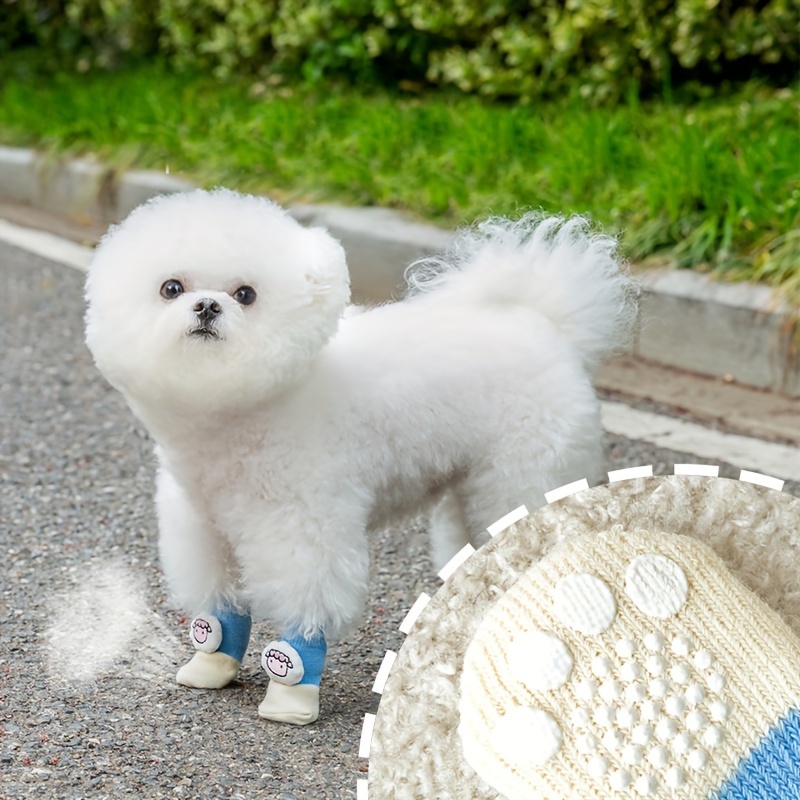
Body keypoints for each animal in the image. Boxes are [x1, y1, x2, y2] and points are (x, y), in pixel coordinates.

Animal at [86, 189, 636, 724]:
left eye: (246, 294)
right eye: (171, 288)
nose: (206, 306)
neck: (241, 415)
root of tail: (544, 324)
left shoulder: (302, 526)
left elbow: (306, 605)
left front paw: (292, 697)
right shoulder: (202, 522)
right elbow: (219, 606)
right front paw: (211, 662)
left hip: (526, 476)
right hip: (473, 488)